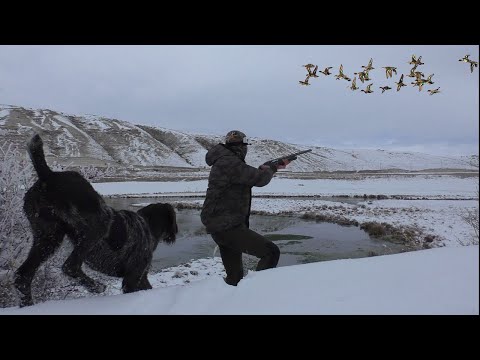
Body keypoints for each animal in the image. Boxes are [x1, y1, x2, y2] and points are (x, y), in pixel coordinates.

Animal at [16, 135, 180, 306]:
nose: (176, 232)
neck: (147, 226)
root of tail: (48, 175)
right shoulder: (132, 278)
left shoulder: (141, 277)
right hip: (98, 225)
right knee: (70, 266)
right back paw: (96, 286)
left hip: (48, 237)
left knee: (23, 276)